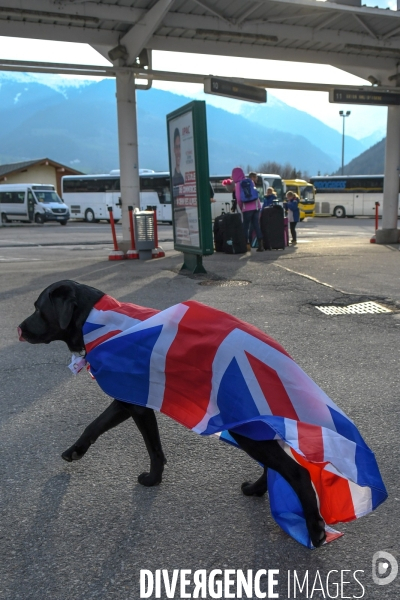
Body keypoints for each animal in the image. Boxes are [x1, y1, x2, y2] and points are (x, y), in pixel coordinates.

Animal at [17, 278, 326, 548]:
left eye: (38, 308)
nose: (18, 328)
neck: (97, 320)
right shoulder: (128, 399)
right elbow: (95, 426)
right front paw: (75, 451)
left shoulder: (137, 405)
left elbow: (151, 448)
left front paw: (152, 480)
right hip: (253, 427)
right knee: (275, 465)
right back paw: (256, 490)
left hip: (246, 429)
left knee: (297, 473)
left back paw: (315, 530)